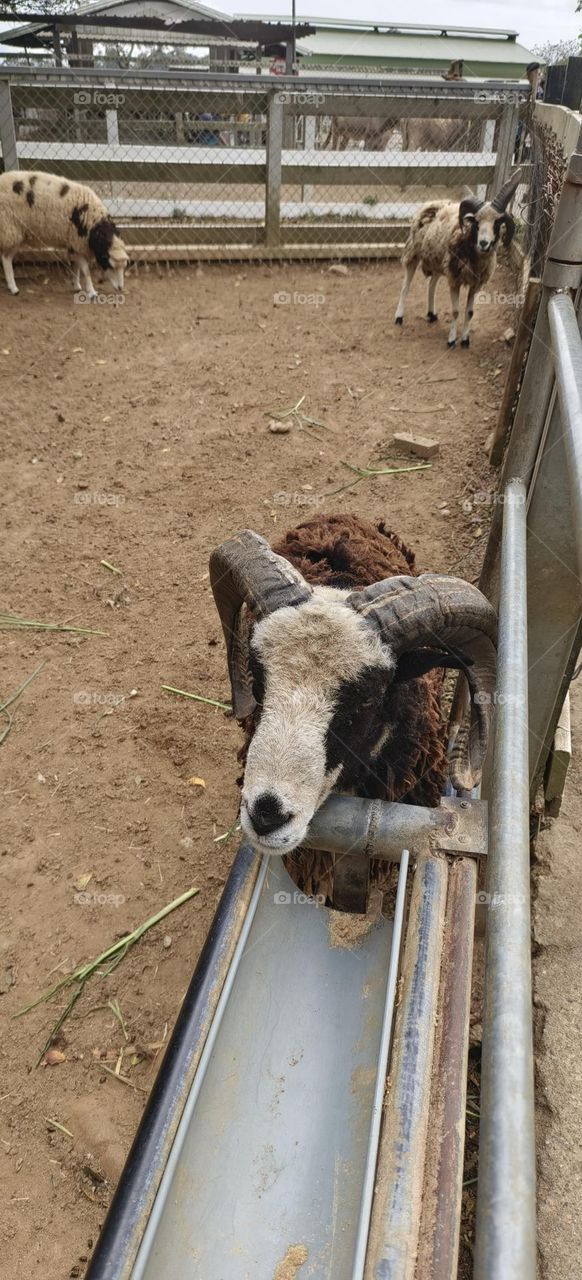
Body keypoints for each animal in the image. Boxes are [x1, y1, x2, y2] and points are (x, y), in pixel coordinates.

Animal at [0, 170, 128, 298]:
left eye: (124, 267)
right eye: (110, 265)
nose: (120, 288)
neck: (94, 225)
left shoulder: (74, 244)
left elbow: (76, 267)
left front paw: (77, 286)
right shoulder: (77, 242)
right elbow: (86, 271)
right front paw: (91, 292)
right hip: (10, 230)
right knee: (6, 258)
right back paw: (14, 288)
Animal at [394, 169, 521, 348]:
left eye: (496, 223)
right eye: (476, 223)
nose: (484, 243)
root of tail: (432, 203)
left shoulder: (475, 283)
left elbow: (470, 312)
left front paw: (465, 340)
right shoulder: (455, 279)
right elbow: (455, 311)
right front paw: (452, 340)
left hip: (439, 261)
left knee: (431, 285)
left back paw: (431, 314)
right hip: (414, 253)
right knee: (405, 287)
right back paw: (399, 317)